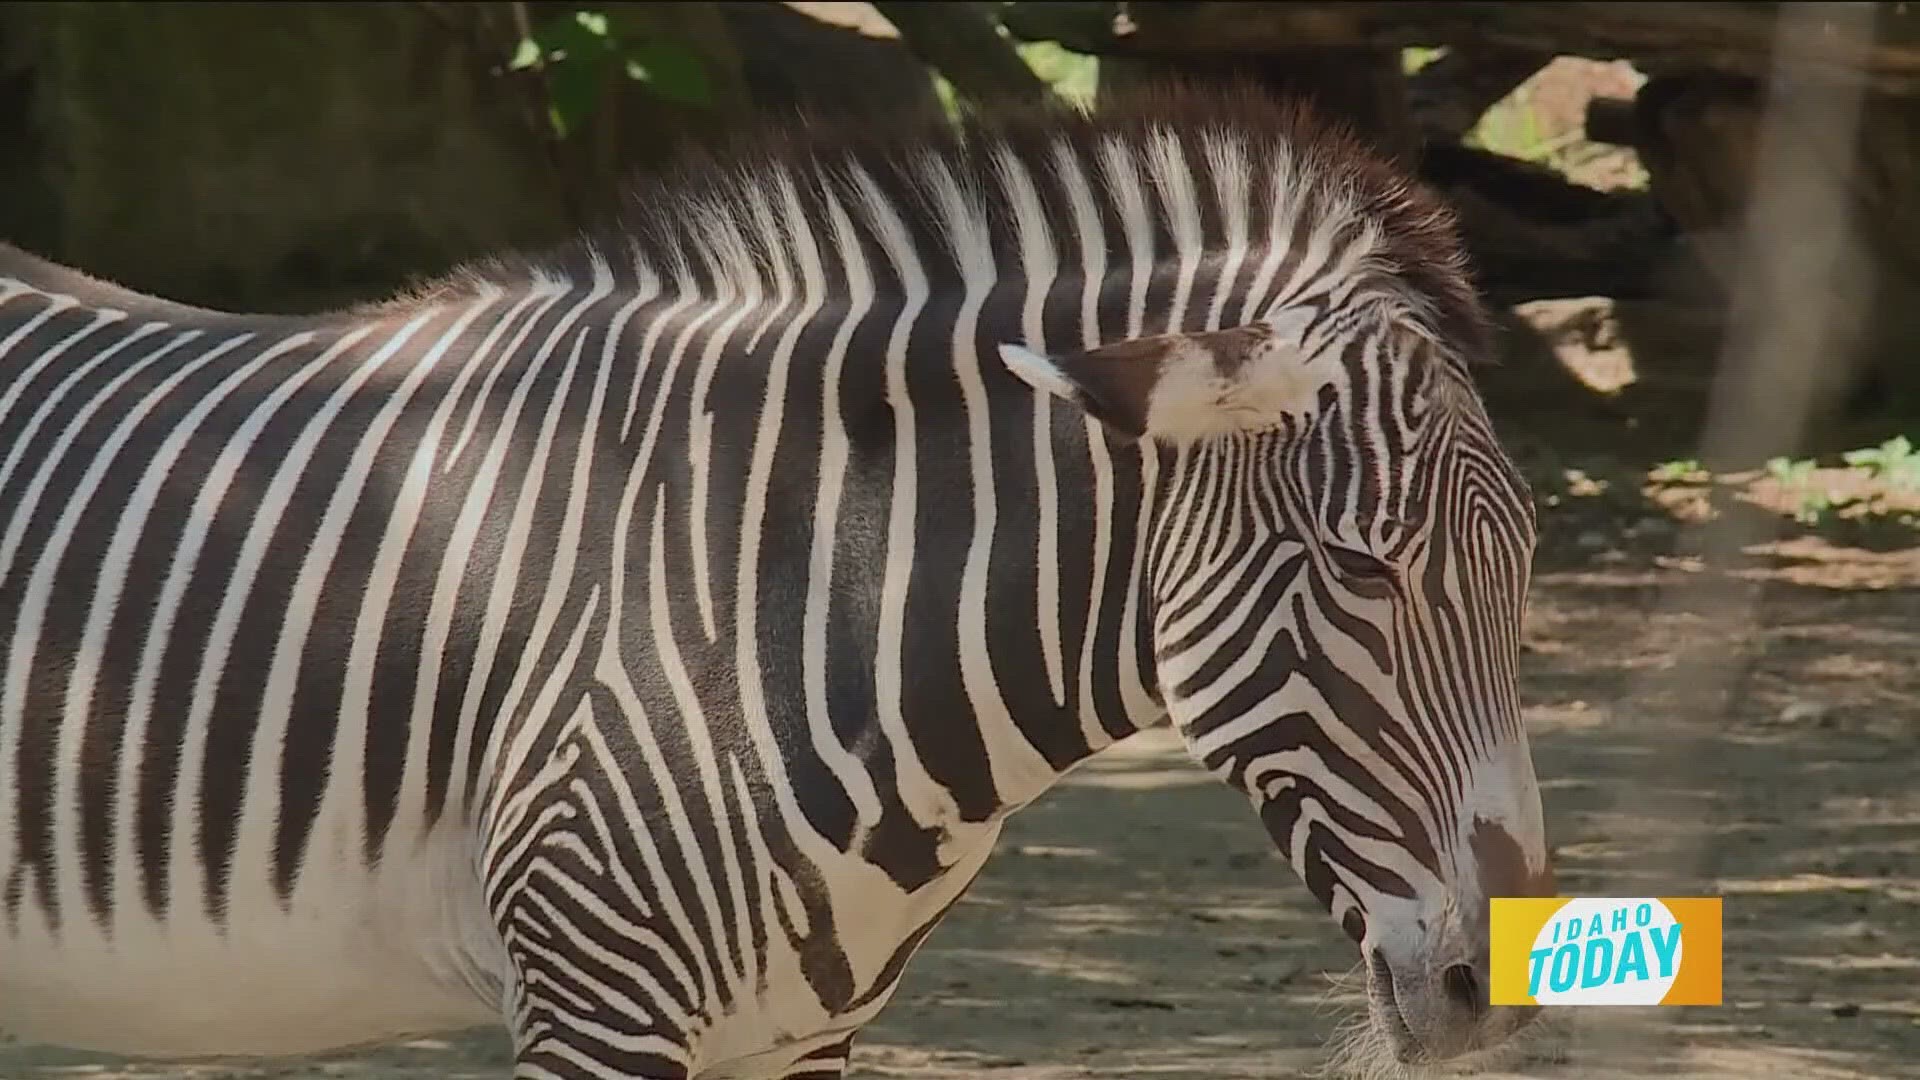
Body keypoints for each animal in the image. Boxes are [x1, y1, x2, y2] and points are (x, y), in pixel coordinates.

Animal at [0, 88, 1559, 1068]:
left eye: (1529, 566)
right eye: (1360, 567)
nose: (1503, 980)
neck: (784, 590)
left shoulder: (802, 1034)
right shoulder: (594, 1005)